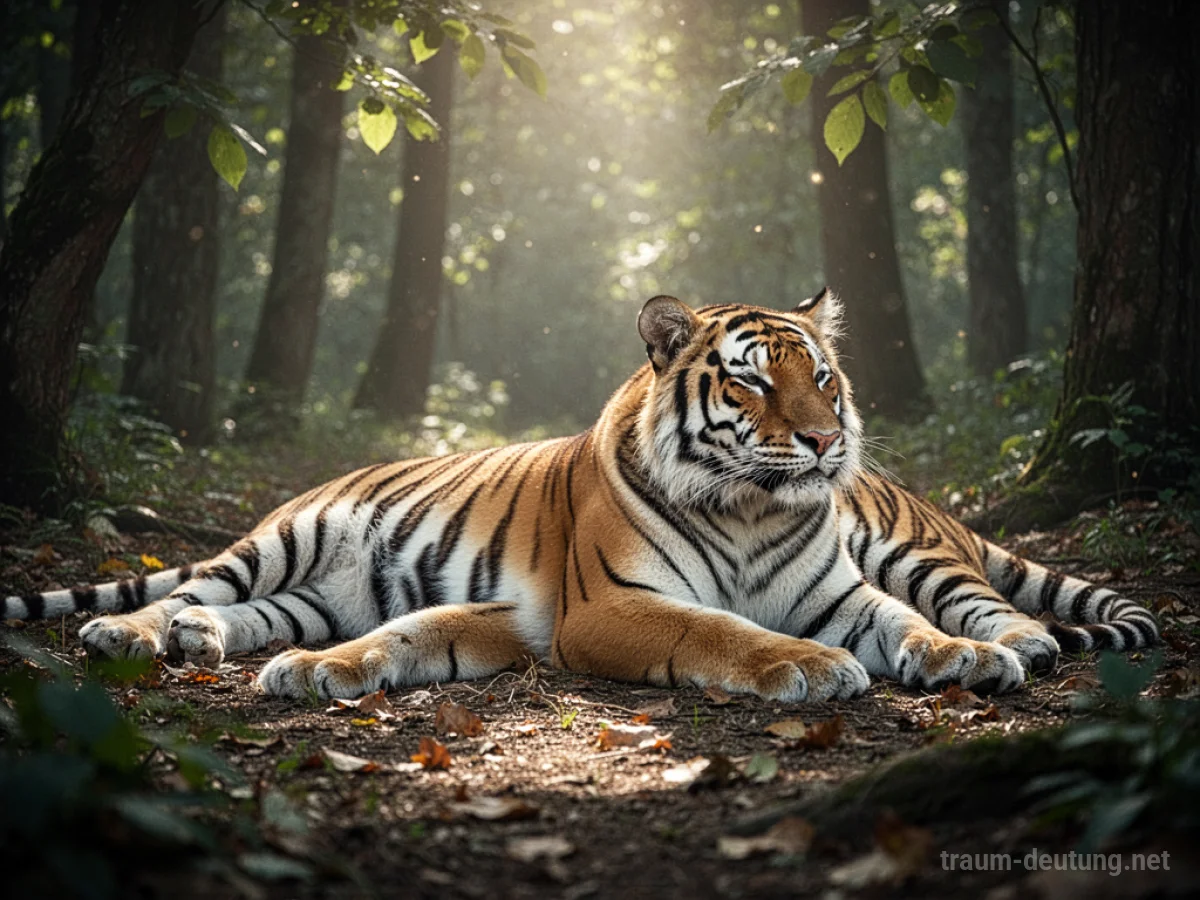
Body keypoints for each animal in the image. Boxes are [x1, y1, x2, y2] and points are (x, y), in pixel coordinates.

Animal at [2, 292, 1159, 702]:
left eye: (824, 378)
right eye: (752, 381)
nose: (828, 441)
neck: (754, 508)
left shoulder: (843, 591)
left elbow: (908, 626)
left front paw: (957, 661)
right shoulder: (609, 607)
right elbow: (720, 631)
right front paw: (808, 669)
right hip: (281, 547)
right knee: (190, 587)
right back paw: (134, 636)